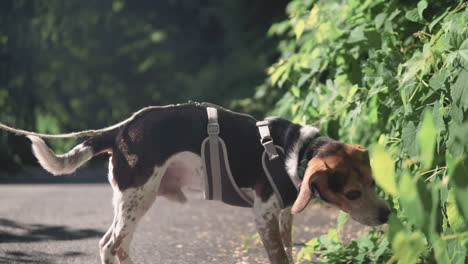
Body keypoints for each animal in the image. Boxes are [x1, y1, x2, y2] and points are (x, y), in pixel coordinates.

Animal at [21, 102, 392, 264]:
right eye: (353, 193)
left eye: (374, 182)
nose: (388, 214)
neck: (297, 152)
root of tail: (120, 130)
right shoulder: (264, 215)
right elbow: (279, 256)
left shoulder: (284, 215)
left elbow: (288, 249)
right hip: (139, 197)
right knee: (111, 245)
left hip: (129, 201)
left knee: (113, 244)